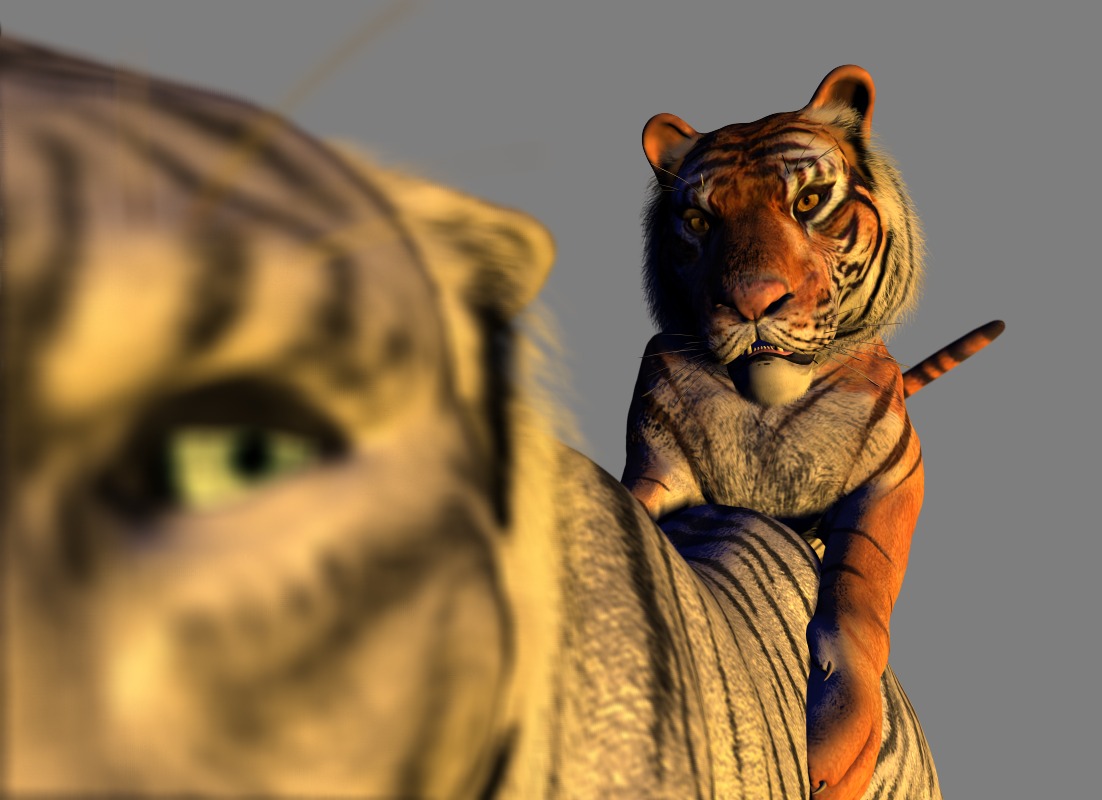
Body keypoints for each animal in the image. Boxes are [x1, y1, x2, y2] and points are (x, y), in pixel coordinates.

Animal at [622, 65, 1001, 799]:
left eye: (811, 200)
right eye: (699, 220)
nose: (751, 302)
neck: (768, 412)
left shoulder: (893, 472)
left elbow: (855, 604)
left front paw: (838, 748)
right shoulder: (657, 463)